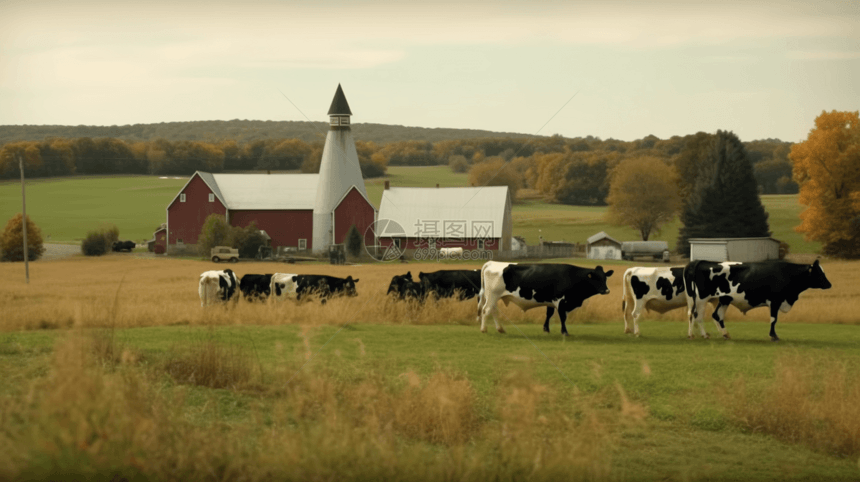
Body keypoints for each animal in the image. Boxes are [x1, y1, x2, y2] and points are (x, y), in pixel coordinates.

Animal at [478, 262, 612, 338]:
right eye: (596, 278)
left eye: (605, 277)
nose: (606, 290)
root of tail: (491, 263)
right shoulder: (560, 301)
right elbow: (562, 317)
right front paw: (565, 332)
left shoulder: (551, 302)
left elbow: (549, 314)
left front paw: (546, 329)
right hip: (492, 295)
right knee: (486, 310)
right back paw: (483, 329)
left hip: (494, 297)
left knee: (493, 311)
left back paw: (500, 329)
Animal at [680, 258, 828, 340]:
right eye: (819, 272)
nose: (829, 284)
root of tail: (700, 261)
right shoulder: (775, 301)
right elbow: (774, 320)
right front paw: (773, 336)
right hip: (700, 299)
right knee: (697, 316)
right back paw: (702, 335)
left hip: (723, 299)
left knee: (715, 315)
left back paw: (723, 334)